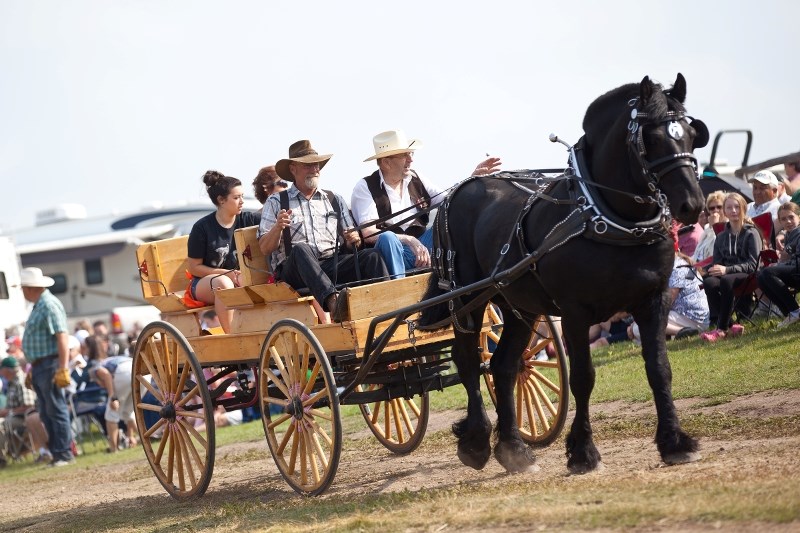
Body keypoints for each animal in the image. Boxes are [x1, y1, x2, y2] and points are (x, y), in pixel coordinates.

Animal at [418, 72, 708, 472]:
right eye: (650, 138)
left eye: (692, 134)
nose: (691, 204)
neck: (608, 218)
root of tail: (459, 190)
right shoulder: (574, 313)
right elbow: (583, 377)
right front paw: (583, 452)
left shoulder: (653, 302)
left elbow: (660, 369)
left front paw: (675, 441)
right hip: (467, 299)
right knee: (468, 361)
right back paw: (476, 442)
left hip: (517, 306)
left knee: (504, 366)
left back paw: (514, 449)